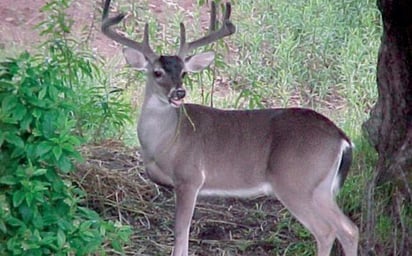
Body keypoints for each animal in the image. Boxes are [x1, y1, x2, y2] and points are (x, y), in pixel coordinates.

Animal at [101, 1, 358, 255]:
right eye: (157, 72)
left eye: (184, 73)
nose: (179, 93)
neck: (165, 141)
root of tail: (342, 138)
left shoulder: (189, 178)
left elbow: (181, 236)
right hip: (321, 187)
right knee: (349, 229)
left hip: (295, 182)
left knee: (326, 231)